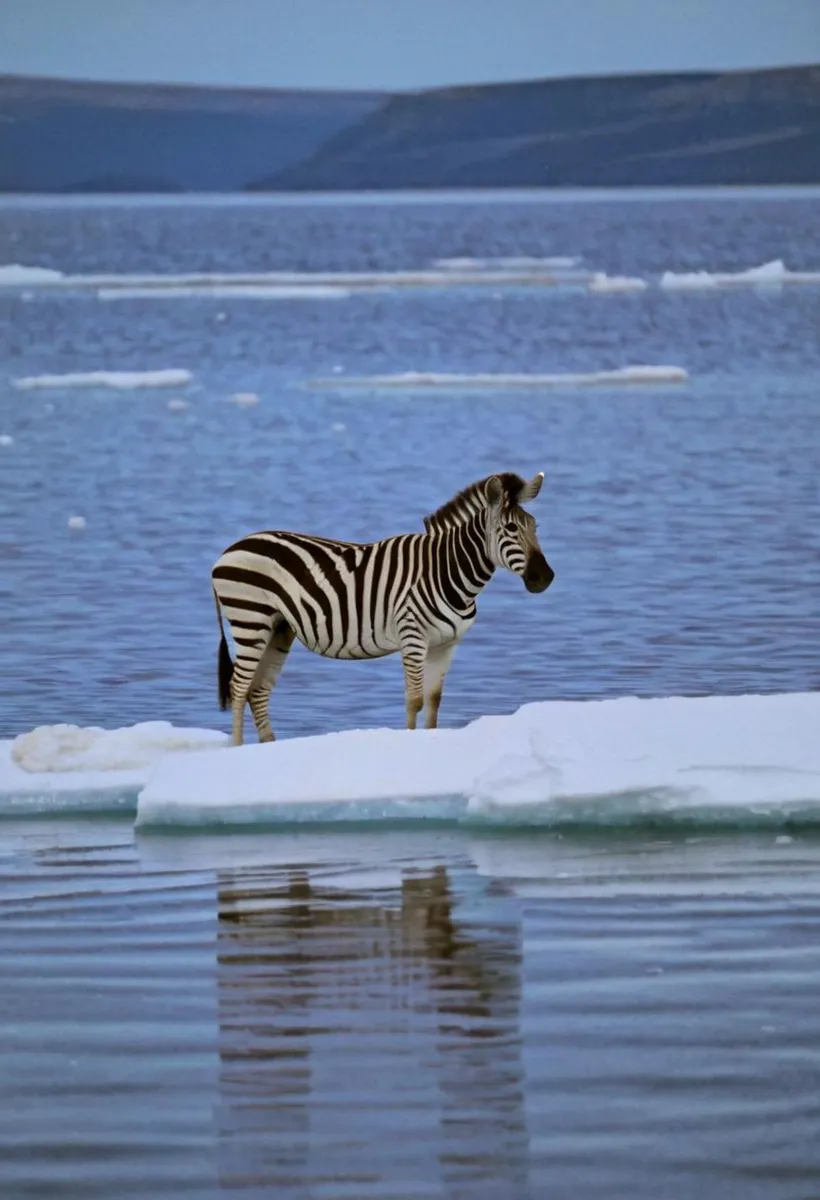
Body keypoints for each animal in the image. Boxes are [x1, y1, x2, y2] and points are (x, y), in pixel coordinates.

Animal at [211, 468, 557, 739]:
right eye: (510, 529)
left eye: (535, 526)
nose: (545, 578)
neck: (446, 571)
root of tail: (227, 551)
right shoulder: (413, 636)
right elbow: (414, 700)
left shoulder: (446, 644)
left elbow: (434, 701)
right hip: (250, 619)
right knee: (239, 689)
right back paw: (237, 751)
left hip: (278, 628)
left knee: (257, 692)